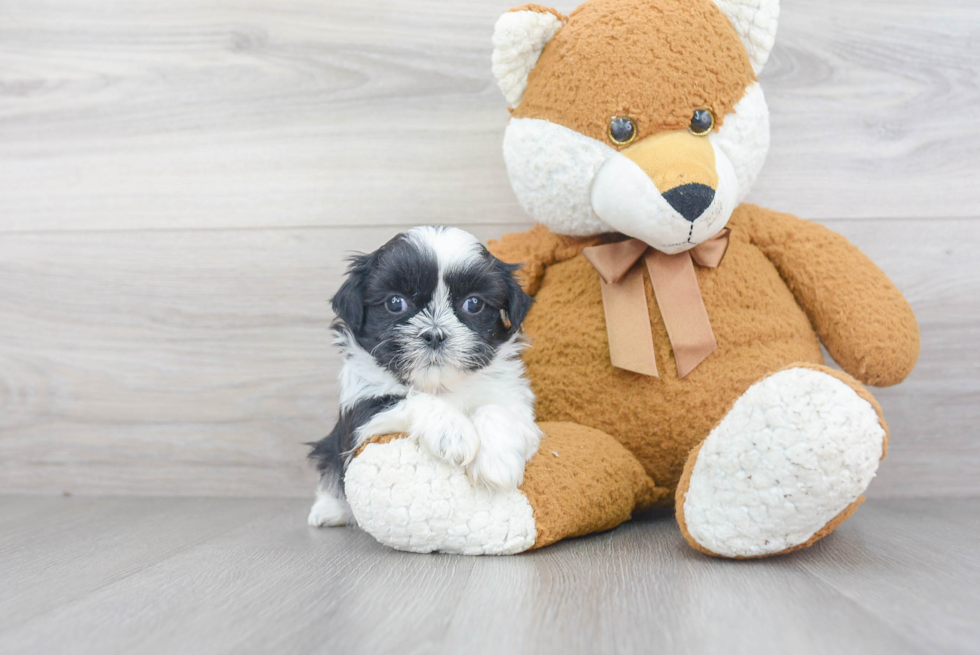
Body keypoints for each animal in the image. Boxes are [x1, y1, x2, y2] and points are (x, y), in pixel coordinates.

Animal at [308, 226, 540, 528]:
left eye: (474, 304)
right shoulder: (361, 408)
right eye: (396, 303)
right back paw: (328, 510)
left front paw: (497, 462)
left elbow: (496, 409)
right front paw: (453, 433)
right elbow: (410, 399)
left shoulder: (513, 397)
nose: (435, 334)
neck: (441, 386)